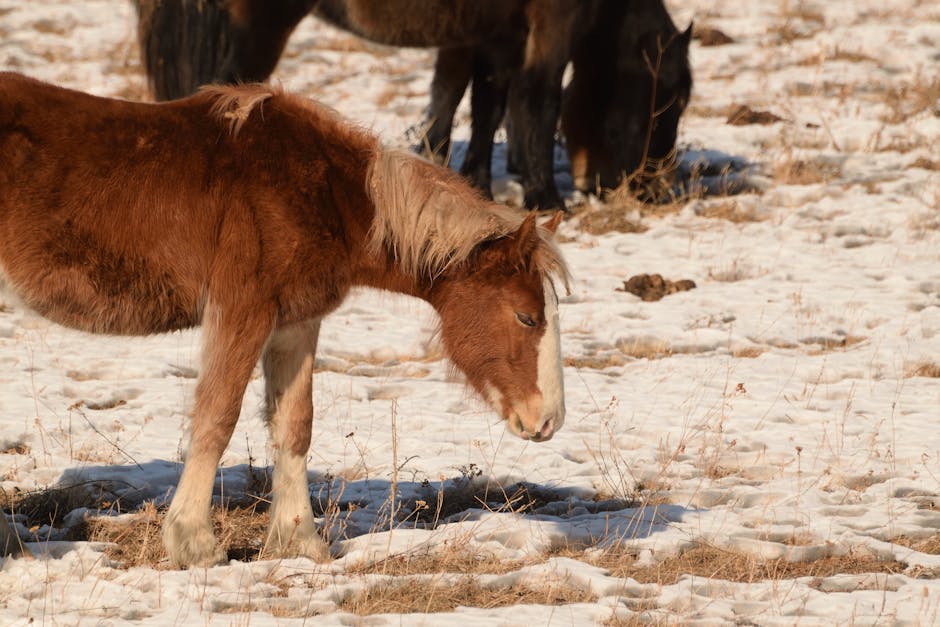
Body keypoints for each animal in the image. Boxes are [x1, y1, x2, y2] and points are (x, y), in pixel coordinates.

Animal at [0, 73, 564, 568]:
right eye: (526, 317)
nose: (549, 422)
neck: (325, 193)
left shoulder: (296, 321)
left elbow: (295, 424)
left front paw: (299, 541)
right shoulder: (243, 310)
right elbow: (218, 416)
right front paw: (195, 544)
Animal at [132, 0, 692, 211]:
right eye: (670, 98)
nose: (652, 192)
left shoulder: (499, 35)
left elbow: (487, 106)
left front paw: (477, 184)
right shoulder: (548, 30)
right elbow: (537, 101)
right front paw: (546, 199)